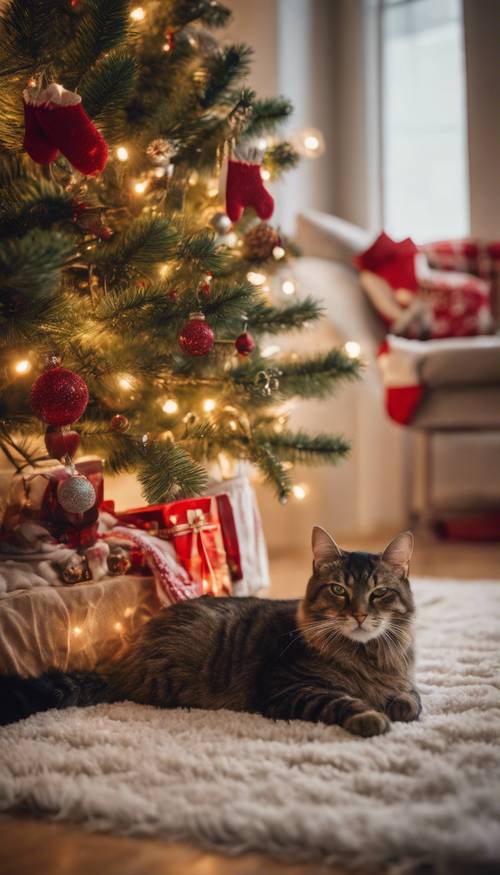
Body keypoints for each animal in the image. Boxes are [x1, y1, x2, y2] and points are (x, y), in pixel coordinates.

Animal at [0, 528, 422, 740]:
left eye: (379, 593)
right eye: (338, 590)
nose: (360, 615)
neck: (366, 656)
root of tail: (123, 660)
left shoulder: (404, 678)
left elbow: (412, 698)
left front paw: (399, 705)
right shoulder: (287, 688)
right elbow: (341, 701)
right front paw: (371, 717)